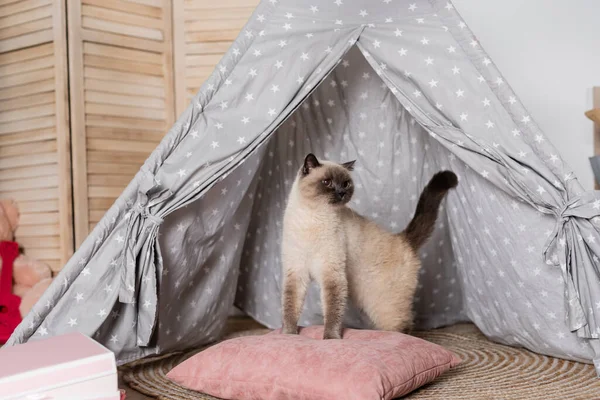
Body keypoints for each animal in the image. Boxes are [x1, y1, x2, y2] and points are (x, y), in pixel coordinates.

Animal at [278, 152, 458, 340]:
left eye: (346, 183)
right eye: (327, 182)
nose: (341, 193)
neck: (313, 216)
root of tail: (403, 239)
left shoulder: (332, 274)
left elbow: (332, 312)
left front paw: (331, 339)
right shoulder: (296, 272)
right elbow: (290, 309)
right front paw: (288, 335)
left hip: (382, 304)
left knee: (404, 325)